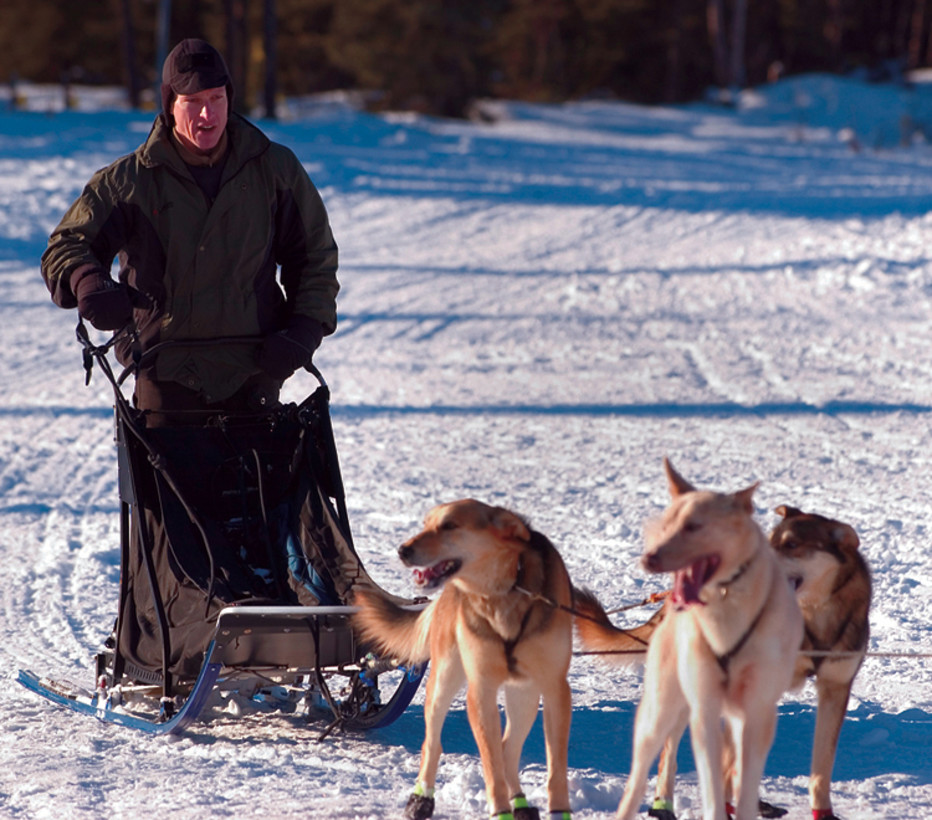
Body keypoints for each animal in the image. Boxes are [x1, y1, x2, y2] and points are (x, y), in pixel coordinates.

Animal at [352, 496, 576, 820]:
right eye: (426, 523)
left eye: (449, 525)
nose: (403, 550)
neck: (504, 591)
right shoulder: (481, 690)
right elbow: (491, 766)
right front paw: (499, 810)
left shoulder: (555, 689)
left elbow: (555, 769)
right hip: (443, 681)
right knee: (433, 744)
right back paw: (421, 798)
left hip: (526, 696)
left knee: (508, 748)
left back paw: (520, 803)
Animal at [576, 462, 800, 820]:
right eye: (667, 525)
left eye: (694, 526)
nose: (650, 558)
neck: (726, 618)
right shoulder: (704, 711)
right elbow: (710, 783)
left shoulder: (757, 713)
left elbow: (745, 783)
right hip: (660, 712)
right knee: (641, 775)